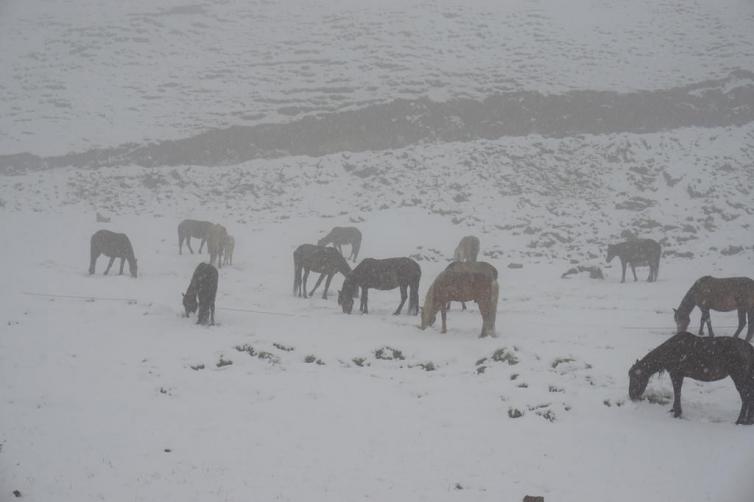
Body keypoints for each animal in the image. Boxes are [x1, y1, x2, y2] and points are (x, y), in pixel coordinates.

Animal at [624, 332, 752, 426]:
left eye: (635, 377)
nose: (632, 396)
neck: (671, 350)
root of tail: (749, 348)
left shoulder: (676, 375)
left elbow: (677, 393)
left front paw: (677, 413)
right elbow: (677, 393)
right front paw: (674, 410)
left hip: (739, 378)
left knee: (746, 398)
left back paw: (739, 421)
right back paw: (748, 421)